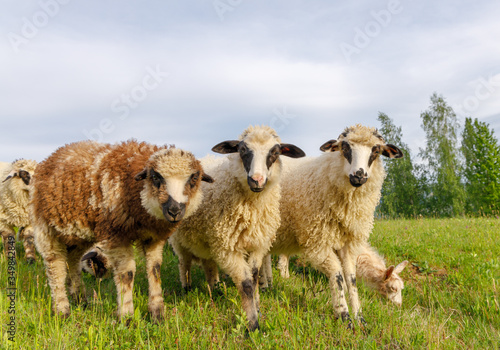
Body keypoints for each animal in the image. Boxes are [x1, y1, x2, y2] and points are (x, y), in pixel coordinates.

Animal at [30, 141, 212, 322]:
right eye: (155, 177)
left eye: (194, 178)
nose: (174, 211)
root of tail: (53, 155)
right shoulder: (116, 234)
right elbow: (127, 274)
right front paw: (127, 316)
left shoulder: (153, 237)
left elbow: (155, 270)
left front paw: (157, 314)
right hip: (46, 228)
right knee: (56, 267)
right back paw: (62, 310)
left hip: (77, 235)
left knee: (73, 261)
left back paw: (80, 300)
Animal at [170, 125, 306, 330]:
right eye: (242, 150)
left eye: (275, 152)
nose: (257, 180)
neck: (252, 208)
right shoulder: (229, 248)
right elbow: (247, 284)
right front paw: (253, 325)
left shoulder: (257, 245)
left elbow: (255, 277)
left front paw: (257, 308)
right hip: (180, 239)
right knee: (183, 263)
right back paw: (186, 288)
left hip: (207, 241)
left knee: (208, 264)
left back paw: (215, 289)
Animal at [258, 124, 402, 330]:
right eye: (345, 147)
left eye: (376, 151)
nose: (359, 176)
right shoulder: (318, 241)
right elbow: (337, 275)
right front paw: (345, 317)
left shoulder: (348, 243)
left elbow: (351, 279)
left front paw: (359, 317)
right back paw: (263, 285)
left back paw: (267, 284)